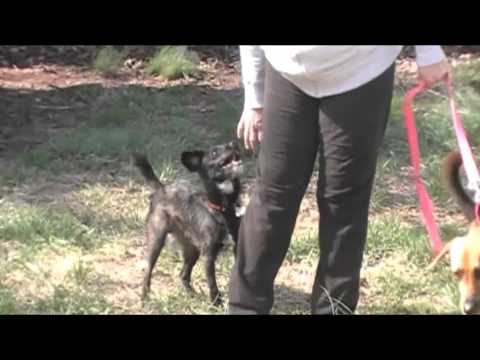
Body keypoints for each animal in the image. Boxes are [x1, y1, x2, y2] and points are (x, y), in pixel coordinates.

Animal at [132, 142, 242, 306]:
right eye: (214, 153)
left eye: (229, 143)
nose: (233, 143)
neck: (221, 209)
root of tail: (162, 188)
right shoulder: (209, 255)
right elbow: (212, 283)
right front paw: (216, 303)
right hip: (157, 240)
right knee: (148, 270)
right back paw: (144, 297)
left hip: (192, 250)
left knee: (183, 275)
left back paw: (192, 295)